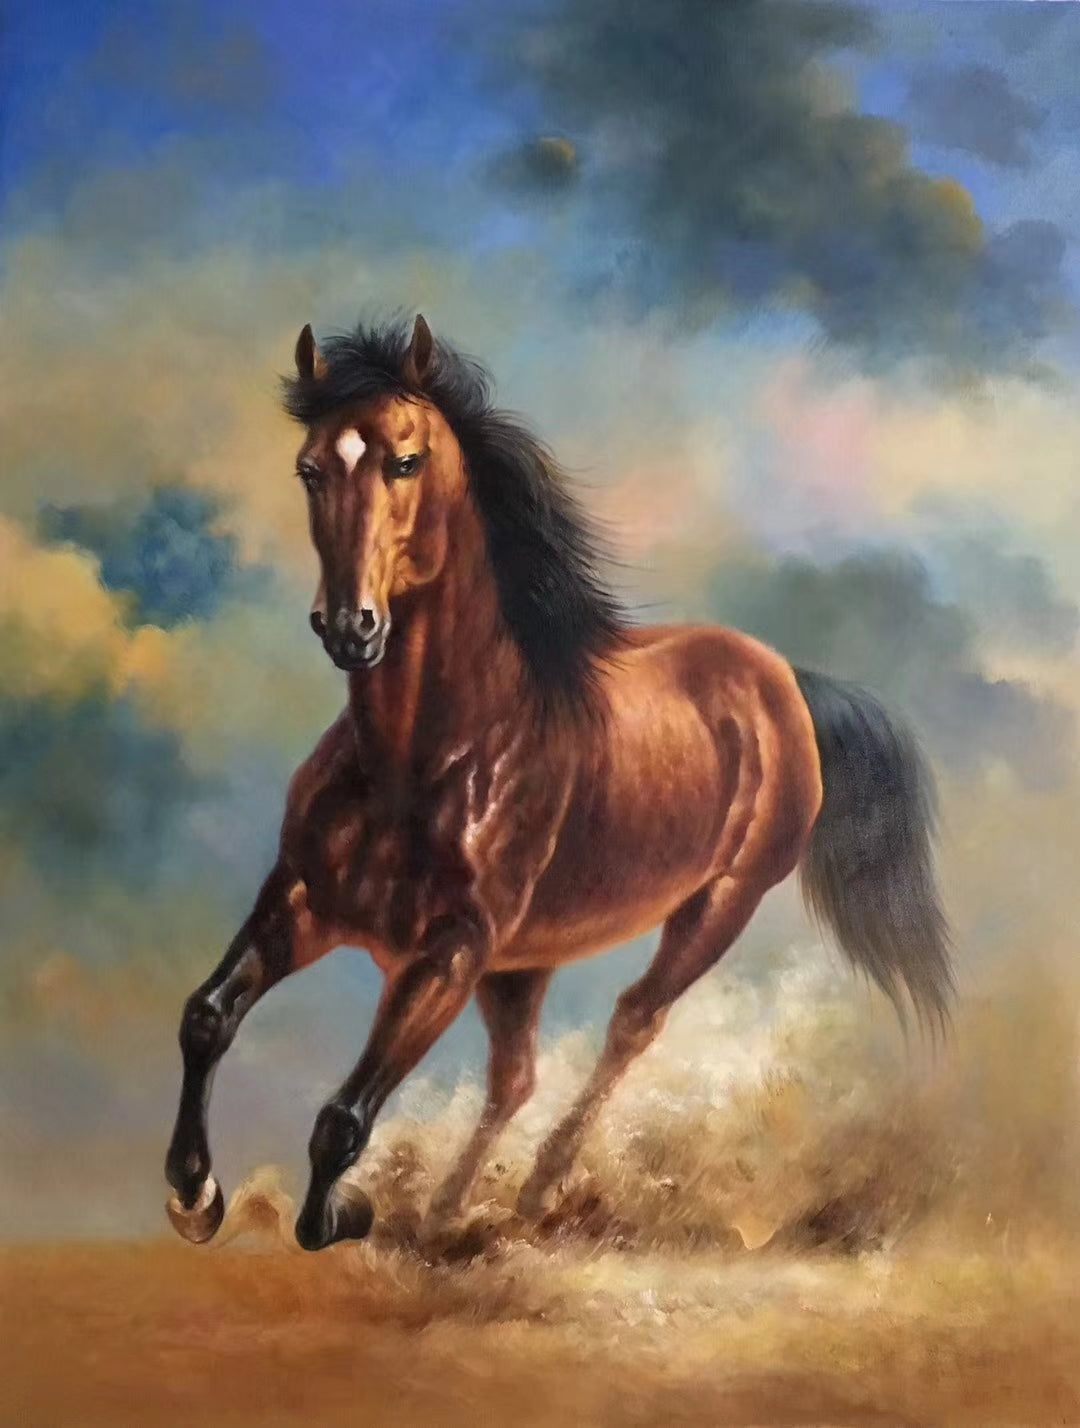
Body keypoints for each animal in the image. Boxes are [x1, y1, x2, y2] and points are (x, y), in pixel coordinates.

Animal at [165, 315, 953, 1251]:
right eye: (310, 468)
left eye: (406, 461)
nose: (350, 627)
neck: (424, 760)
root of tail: (783, 679)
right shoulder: (304, 902)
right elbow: (207, 1015)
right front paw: (193, 1196)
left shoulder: (449, 952)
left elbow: (342, 1119)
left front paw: (343, 1212)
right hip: (525, 960)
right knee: (517, 1077)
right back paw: (448, 1209)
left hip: (718, 906)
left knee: (630, 1024)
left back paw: (537, 1192)